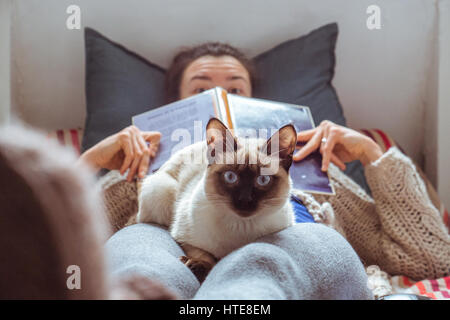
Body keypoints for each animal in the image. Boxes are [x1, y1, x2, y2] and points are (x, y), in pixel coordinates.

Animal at [137, 117, 298, 280]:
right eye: (230, 177)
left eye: (263, 180)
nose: (244, 200)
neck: (241, 230)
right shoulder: (184, 239)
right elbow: (205, 255)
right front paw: (196, 265)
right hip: (161, 193)